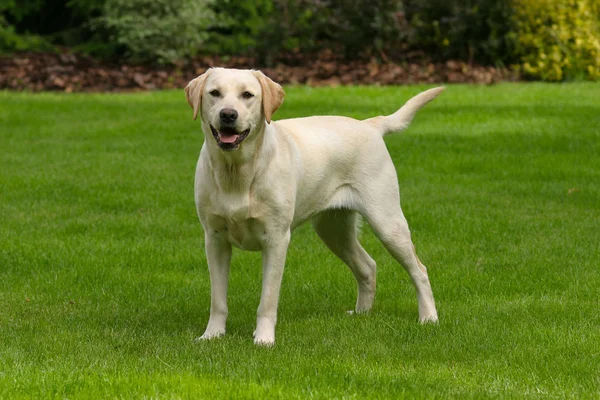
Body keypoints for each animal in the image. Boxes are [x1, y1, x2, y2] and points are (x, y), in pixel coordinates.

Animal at [185, 67, 442, 346]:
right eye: (214, 93)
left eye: (247, 95)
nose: (228, 115)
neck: (236, 172)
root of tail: (369, 124)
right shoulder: (214, 239)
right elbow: (218, 299)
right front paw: (212, 335)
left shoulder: (276, 239)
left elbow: (268, 299)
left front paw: (264, 339)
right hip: (333, 229)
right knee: (367, 265)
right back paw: (361, 314)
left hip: (387, 221)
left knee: (419, 270)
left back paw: (429, 317)